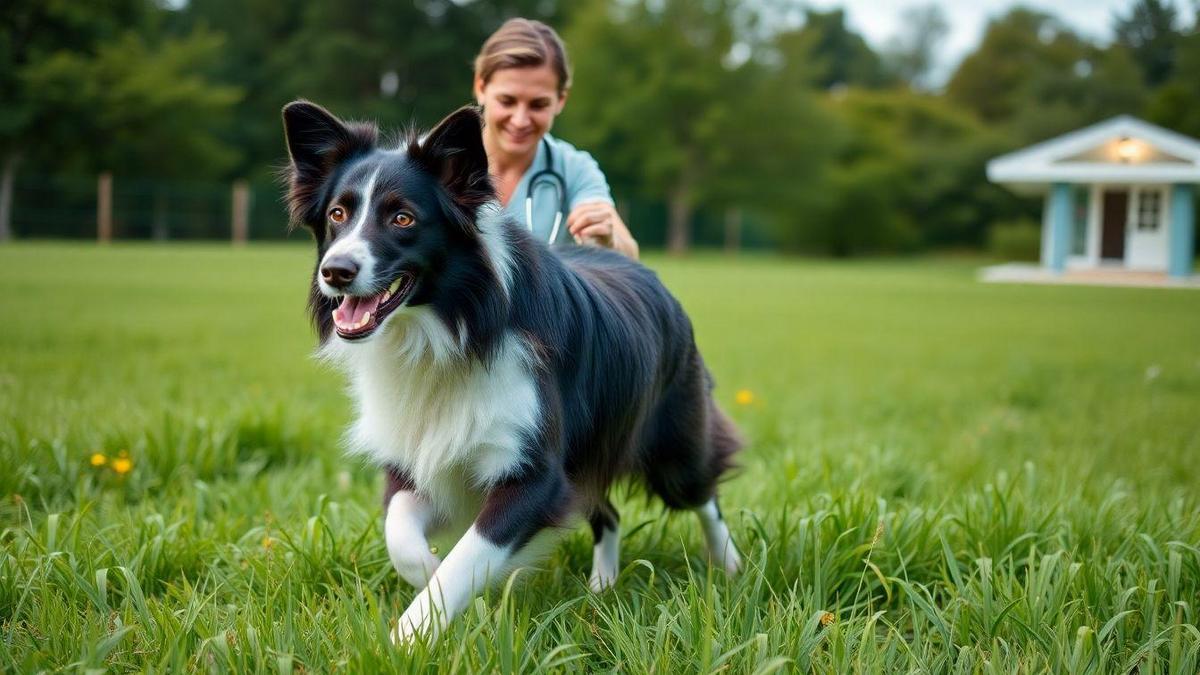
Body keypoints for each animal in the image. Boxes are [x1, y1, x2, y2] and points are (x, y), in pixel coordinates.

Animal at [285, 100, 744, 638]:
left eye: (403, 217)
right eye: (337, 213)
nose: (335, 272)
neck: (448, 327)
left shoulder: (534, 473)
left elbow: (468, 556)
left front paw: (407, 638)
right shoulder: (424, 457)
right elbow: (401, 535)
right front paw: (435, 582)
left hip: (672, 440)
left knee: (702, 491)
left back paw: (729, 567)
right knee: (606, 509)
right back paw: (602, 588)